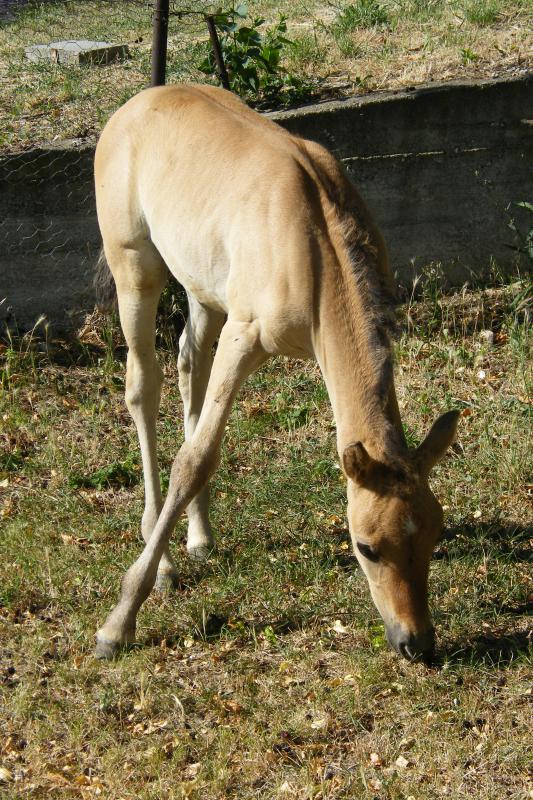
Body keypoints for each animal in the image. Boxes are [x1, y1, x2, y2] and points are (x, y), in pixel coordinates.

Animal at [92, 86, 458, 664]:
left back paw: (199, 537)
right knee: (143, 385)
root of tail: (134, 104)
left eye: (436, 534)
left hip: (203, 288)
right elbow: (194, 458)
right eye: (367, 547)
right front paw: (118, 622)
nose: (414, 642)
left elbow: (199, 441)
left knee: (188, 365)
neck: (315, 242)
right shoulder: (244, 336)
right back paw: (164, 556)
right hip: (135, 270)